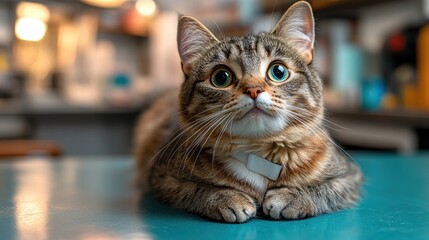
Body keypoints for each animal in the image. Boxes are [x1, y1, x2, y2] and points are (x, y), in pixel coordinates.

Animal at [135, 1, 362, 223]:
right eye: (221, 77)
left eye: (278, 71)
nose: (253, 90)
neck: (257, 152)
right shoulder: (163, 177)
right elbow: (195, 188)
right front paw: (225, 197)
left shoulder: (349, 177)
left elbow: (325, 189)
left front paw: (293, 195)